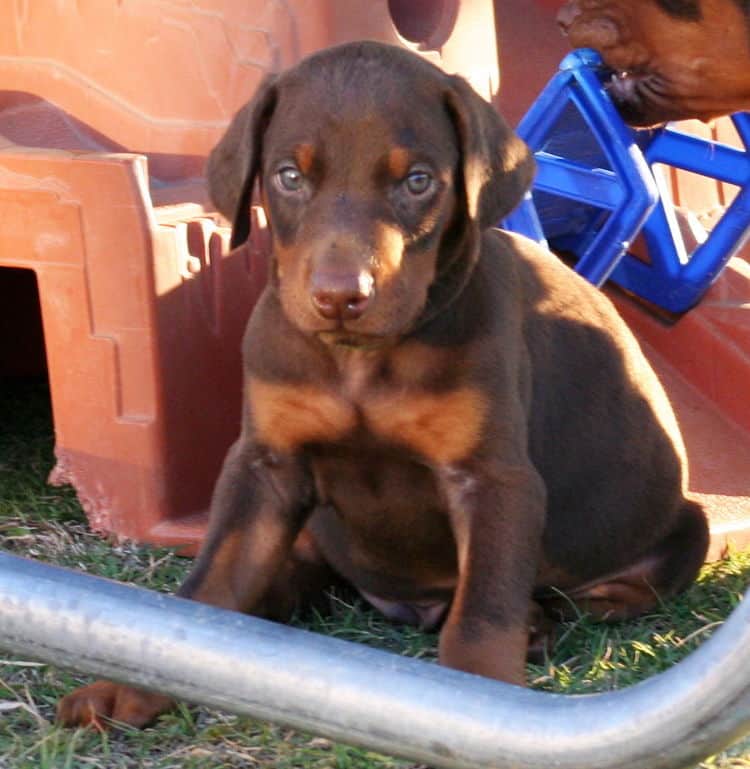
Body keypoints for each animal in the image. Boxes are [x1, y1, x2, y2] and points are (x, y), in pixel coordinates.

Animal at [58, 40, 712, 728]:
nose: (341, 297)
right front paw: (132, 683)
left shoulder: (494, 480)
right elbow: (208, 584)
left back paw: (539, 622)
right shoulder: (266, 464)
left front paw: (479, 696)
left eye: (417, 181)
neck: (361, 362)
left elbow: (483, 612)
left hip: (679, 532)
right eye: (289, 176)